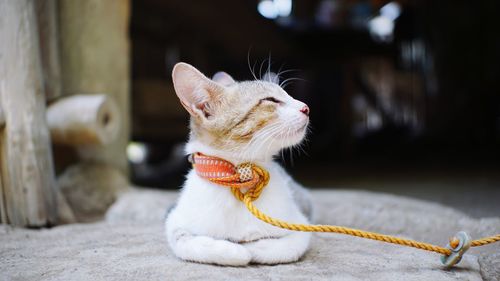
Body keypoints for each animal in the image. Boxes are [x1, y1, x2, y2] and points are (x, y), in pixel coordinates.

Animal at [166, 61, 314, 264]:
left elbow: (292, 245)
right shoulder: (175, 220)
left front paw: (256, 247)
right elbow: (183, 242)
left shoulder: (299, 222)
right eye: (270, 100)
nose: (306, 107)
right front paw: (232, 251)